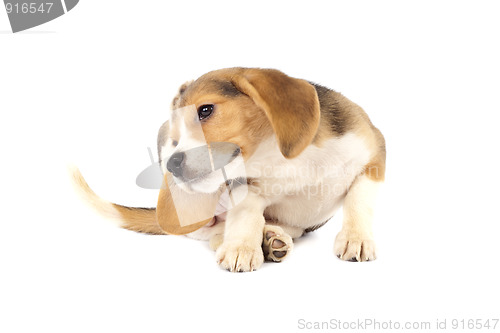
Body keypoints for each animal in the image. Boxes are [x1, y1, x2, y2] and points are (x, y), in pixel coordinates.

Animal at [72, 67, 386, 272]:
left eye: (205, 110)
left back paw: (272, 239)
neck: (280, 159)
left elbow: (359, 200)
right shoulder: (244, 188)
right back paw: (257, 241)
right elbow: (245, 215)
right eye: (174, 139)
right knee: (212, 234)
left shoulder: (374, 156)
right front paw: (241, 248)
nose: (171, 163)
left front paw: (356, 238)